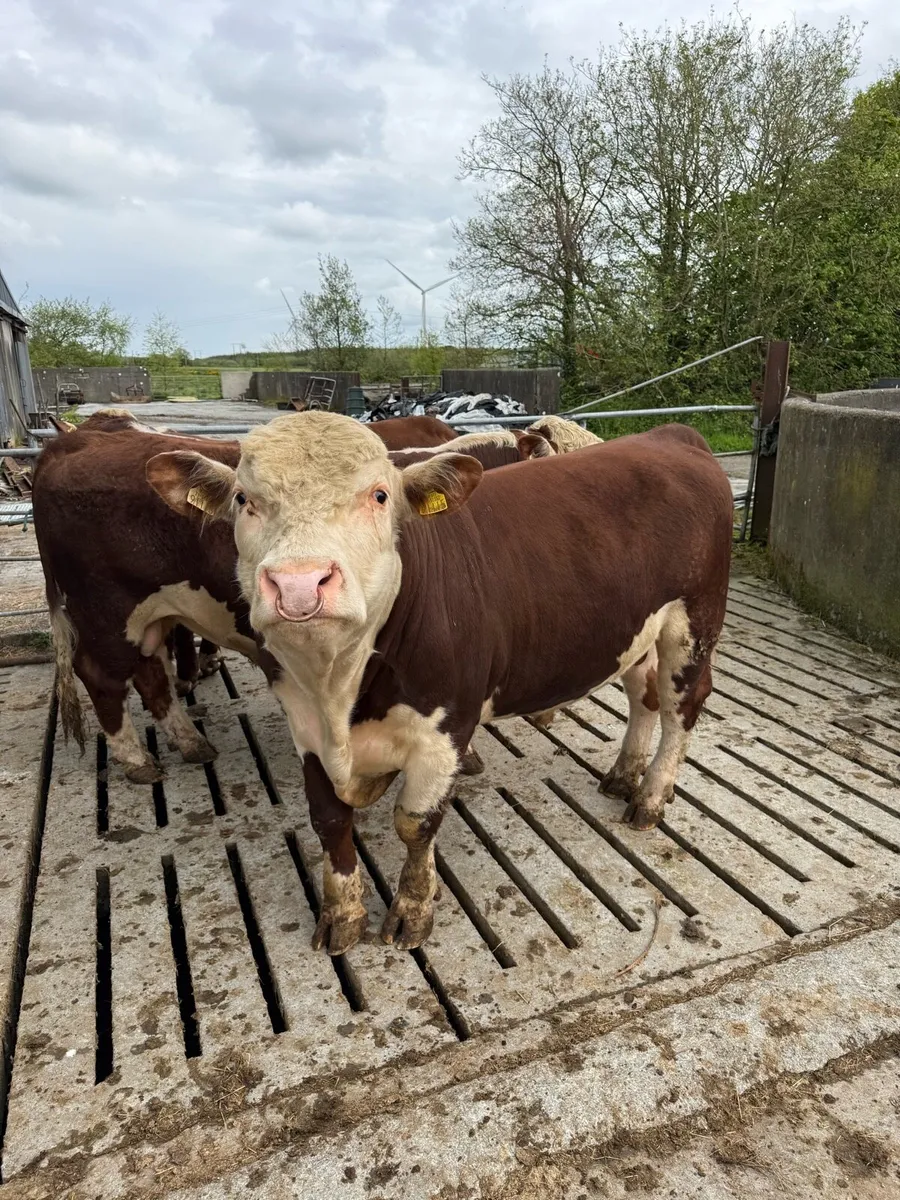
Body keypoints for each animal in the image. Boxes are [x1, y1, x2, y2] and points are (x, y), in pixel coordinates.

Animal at [34, 410, 553, 783]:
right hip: (106, 611)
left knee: (150, 674)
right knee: (102, 676)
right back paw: (138, 760)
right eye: (243, 499)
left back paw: (190, 742)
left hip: (151, 612)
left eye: (379, 496)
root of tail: (69, 442)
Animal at [146, 412, 733, 955]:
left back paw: (650, 797)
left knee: (682, 706)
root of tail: (670, 435)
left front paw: (413, 908)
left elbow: (415, 824)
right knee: (644, 696)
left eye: (380, 495)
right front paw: (342, 916)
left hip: (693, 624)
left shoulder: (445, 729)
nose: (298, 584)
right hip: (638, 628)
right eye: (244, 499)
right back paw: (623, 774)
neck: (337, 689)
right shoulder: (306, 729)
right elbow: (329, 821)